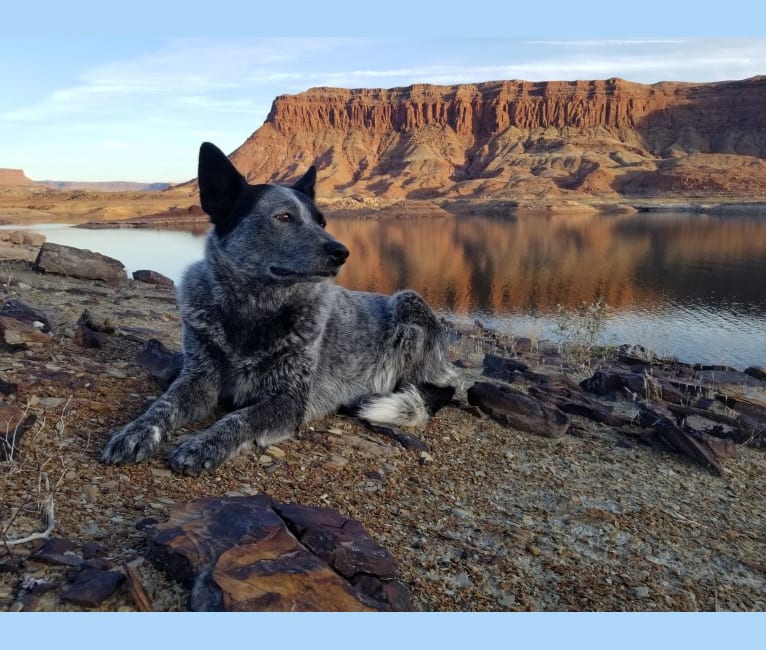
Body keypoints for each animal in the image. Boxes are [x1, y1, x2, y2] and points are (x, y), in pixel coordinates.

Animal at [100, 143, 456, 476]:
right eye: (283, 217)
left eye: (321, 221)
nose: (342, 252)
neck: (253, 309)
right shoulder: (198, 378)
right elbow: (163, 404)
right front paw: (135, 432)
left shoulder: (289, 398)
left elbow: (238, 418)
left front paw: (203, 445)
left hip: (407, 302)